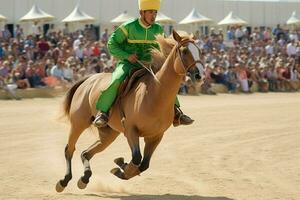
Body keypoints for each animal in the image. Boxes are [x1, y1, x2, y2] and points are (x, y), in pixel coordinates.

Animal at [55, 29, 205, 192]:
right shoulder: (130, 130)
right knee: (69, 149)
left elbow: (144, 164)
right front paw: (122, 167)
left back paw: (84, 178)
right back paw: (64, 181)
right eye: (184, 51)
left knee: (86, 153)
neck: (154, 94)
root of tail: (88, 79)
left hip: (108, 134)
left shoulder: (156, 136)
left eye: (199, 51)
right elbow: (137, 158)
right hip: (78, 123)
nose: (199, 76)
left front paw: (121, 167)